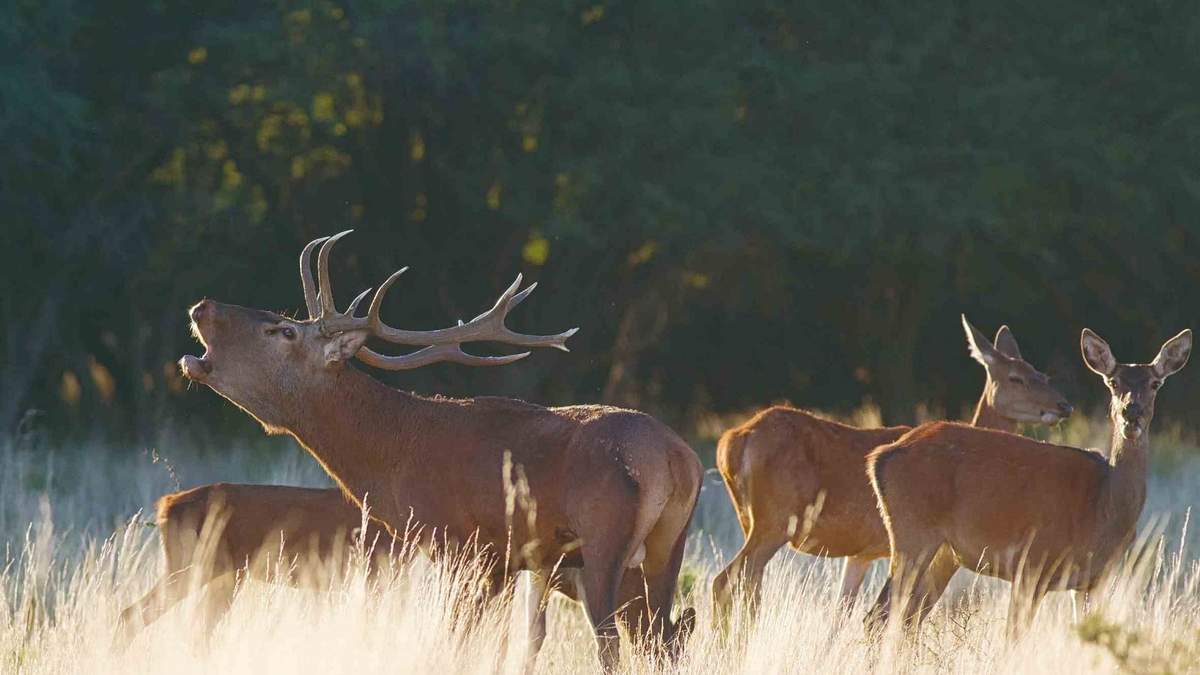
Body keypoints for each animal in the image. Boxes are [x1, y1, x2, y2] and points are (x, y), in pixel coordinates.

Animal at [114, 484, 393, 647]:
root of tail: (167, 505)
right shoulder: (375, 573)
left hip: (224, 576)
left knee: (197, 629)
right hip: (192, 564)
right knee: (132, 614)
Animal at [176, 231, 703, 670]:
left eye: (284, 330)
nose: (202, 306)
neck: (395, 458)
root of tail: (677, 460)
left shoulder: (463, 545)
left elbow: (457, 640)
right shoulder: (509, 561)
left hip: (604, 539)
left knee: (611, 641)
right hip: (667, 547)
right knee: (663, 638)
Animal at [711, 315, 1073, 616]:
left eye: (1042, 374)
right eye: (1016, 378)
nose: (1064, 405)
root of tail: (732, 442)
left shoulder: (862, 552)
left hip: (749, 520)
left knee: (748, 587)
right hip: (775, 519)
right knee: (726, 581)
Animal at [865, 327, 1191, 638]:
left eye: (1155, 383)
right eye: (1112, 382)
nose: (1131, 412)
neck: (1102, 509)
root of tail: (879, 457)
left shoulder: (1094, 581)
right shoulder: (1032, 564)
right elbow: (1013, 637)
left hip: (940, 551)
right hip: (913, 532)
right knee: (879, 615)